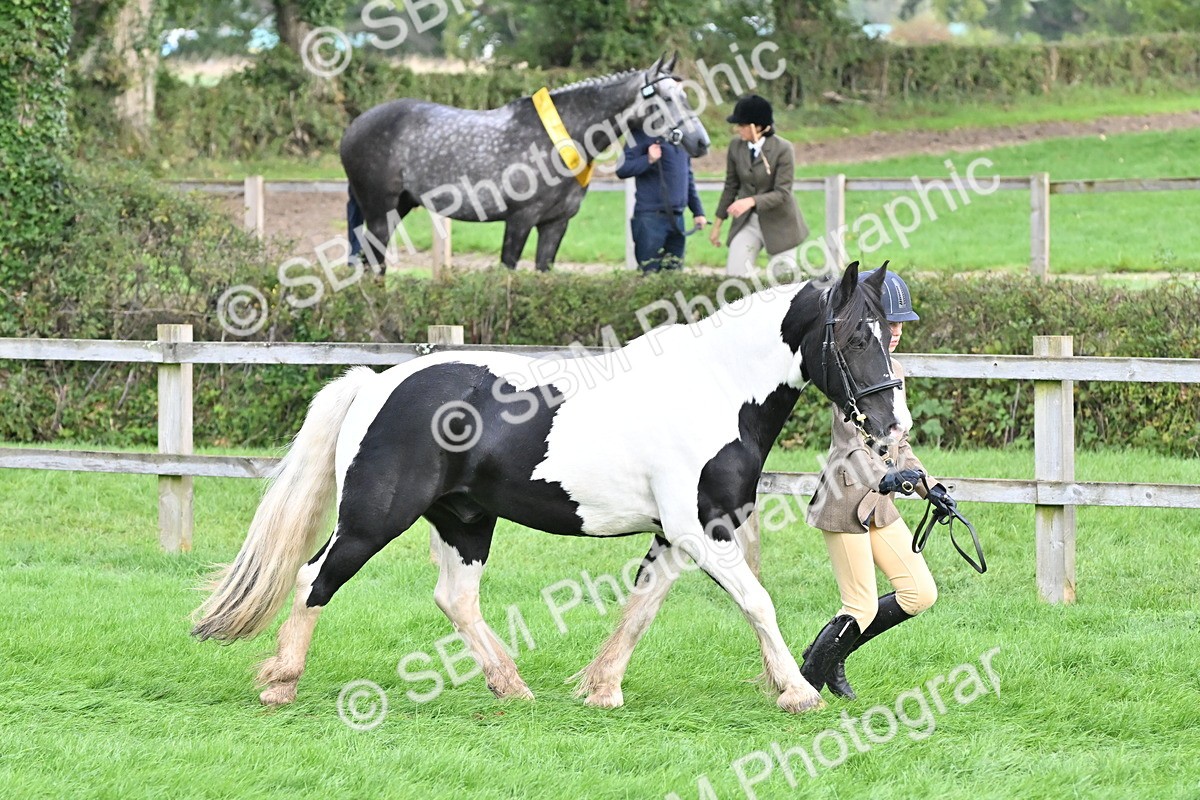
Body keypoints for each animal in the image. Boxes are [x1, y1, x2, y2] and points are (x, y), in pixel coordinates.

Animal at [192, 262, 906, 714]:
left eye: (887, 336)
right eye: (851, 336)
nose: (891, 422)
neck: (714, 388)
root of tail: (377, 383)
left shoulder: (675, 537)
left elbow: (641, 608)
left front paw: (602, 689)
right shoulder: (702, 529)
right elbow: (757, 602)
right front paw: (798, 693)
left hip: (465, 521)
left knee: (455, 599)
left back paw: (511, 688)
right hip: (372, 520)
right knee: (315, 578)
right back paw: (280, 684)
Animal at [340, 53, 709, 273]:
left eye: (684, 96)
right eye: (666, 98)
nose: (700, 143)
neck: (556, 141)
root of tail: (353, 128)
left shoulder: (555, 225)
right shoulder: (519, 221)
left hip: (398, 207)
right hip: (380, 212)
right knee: (374, 264)